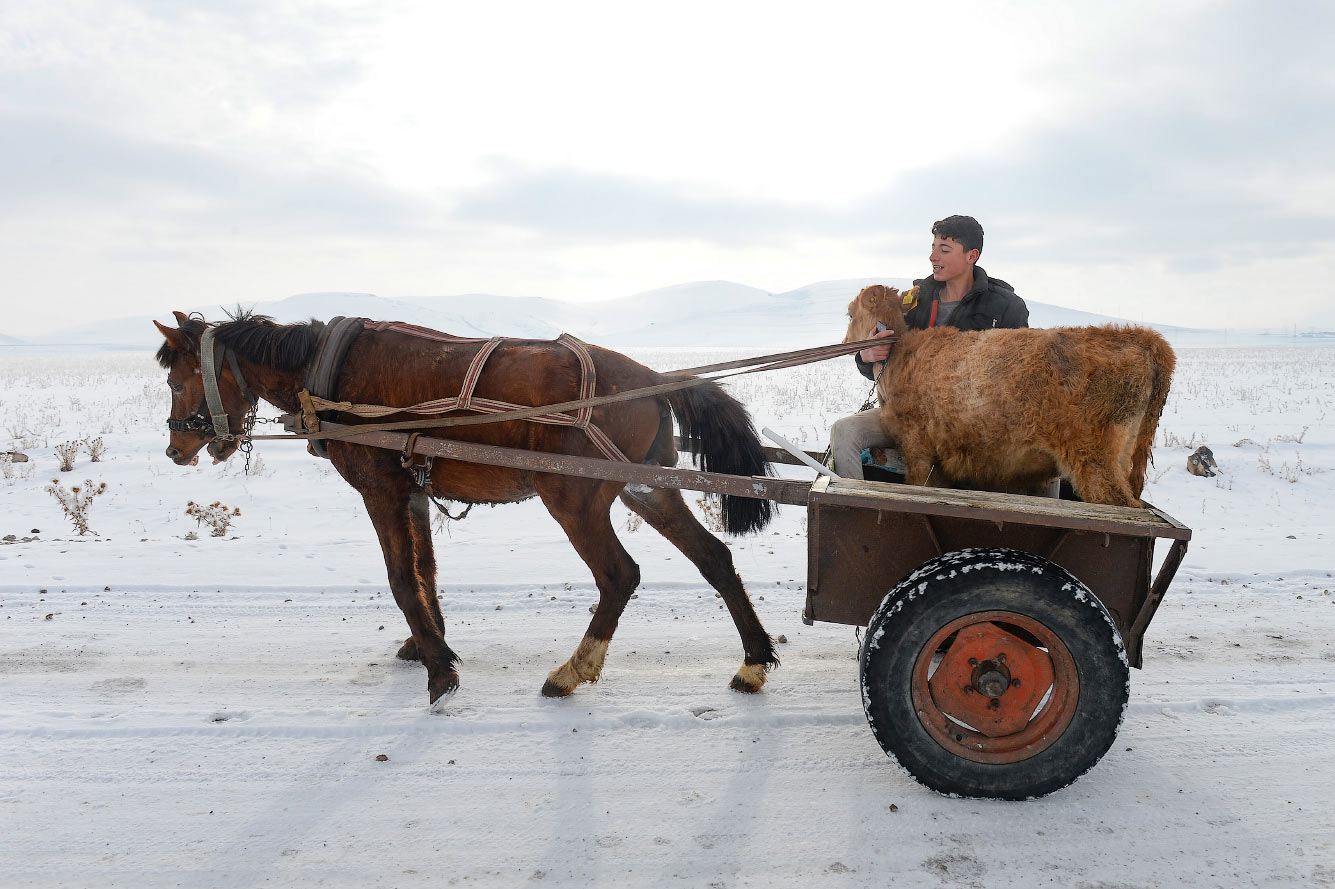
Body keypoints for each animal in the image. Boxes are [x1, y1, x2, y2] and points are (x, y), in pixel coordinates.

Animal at [153, 309, 779, 699]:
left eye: (176, 381)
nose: (175, 447)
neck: (325, 372)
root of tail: (650, 375)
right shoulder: (412, 488)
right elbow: (424, 569)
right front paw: (428, 644)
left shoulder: (379, 488)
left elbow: (400, 578)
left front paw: (439, 673)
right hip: (646, 487)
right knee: (713, 557)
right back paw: (753, 661)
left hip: (574, 497)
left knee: (619, 575)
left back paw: (571, 672)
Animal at [849, 285, 1174, 504]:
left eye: (850, 313)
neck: (898, 356)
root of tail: (1144, 338)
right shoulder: (942, 460)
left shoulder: (917, 447)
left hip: (1095, 460)